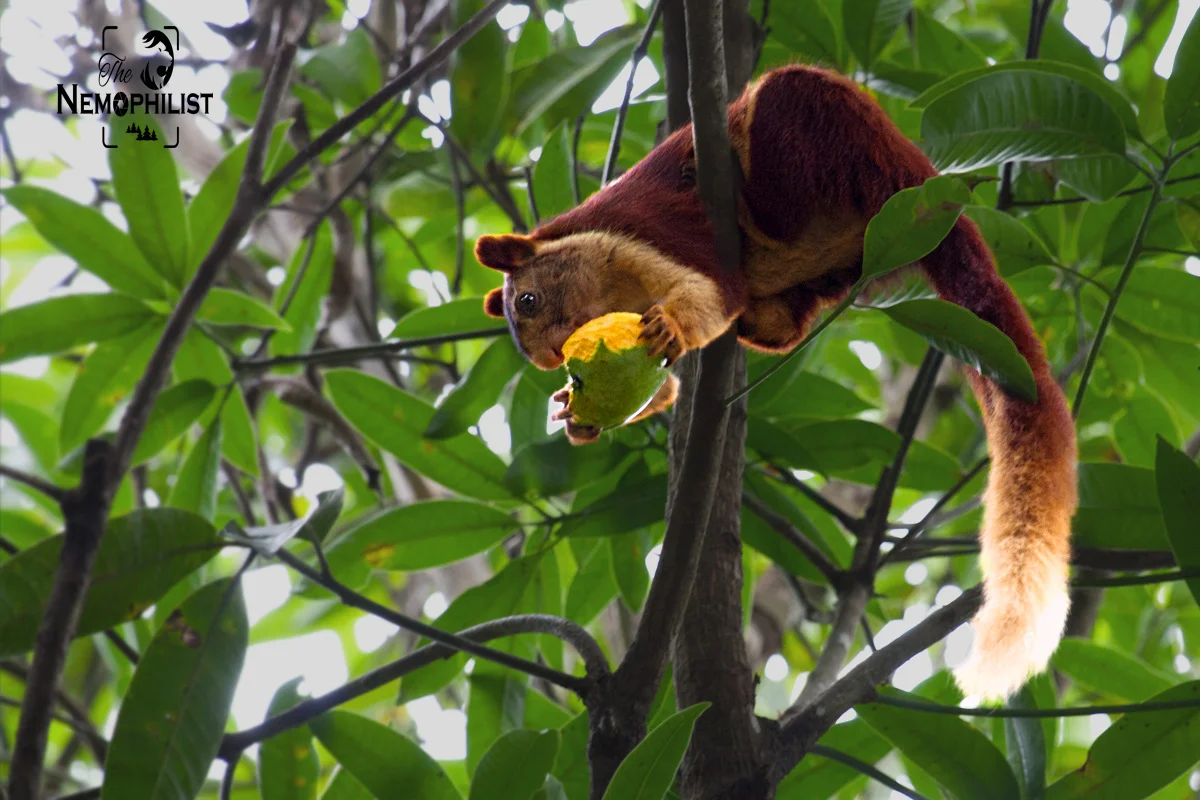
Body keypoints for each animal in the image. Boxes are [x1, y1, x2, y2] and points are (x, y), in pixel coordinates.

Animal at [474, 64, 1077, 702]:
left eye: (528, 301)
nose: (549, 357)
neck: (608, 282)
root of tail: (917, 173)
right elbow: (670, 383)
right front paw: (576, 414)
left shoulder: (640, 238)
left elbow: (709, 295)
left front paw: (671, 326)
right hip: (840, 264)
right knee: (783, 317)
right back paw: (764, 318)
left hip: (817, 130)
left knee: (774, 161)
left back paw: (736, 191)